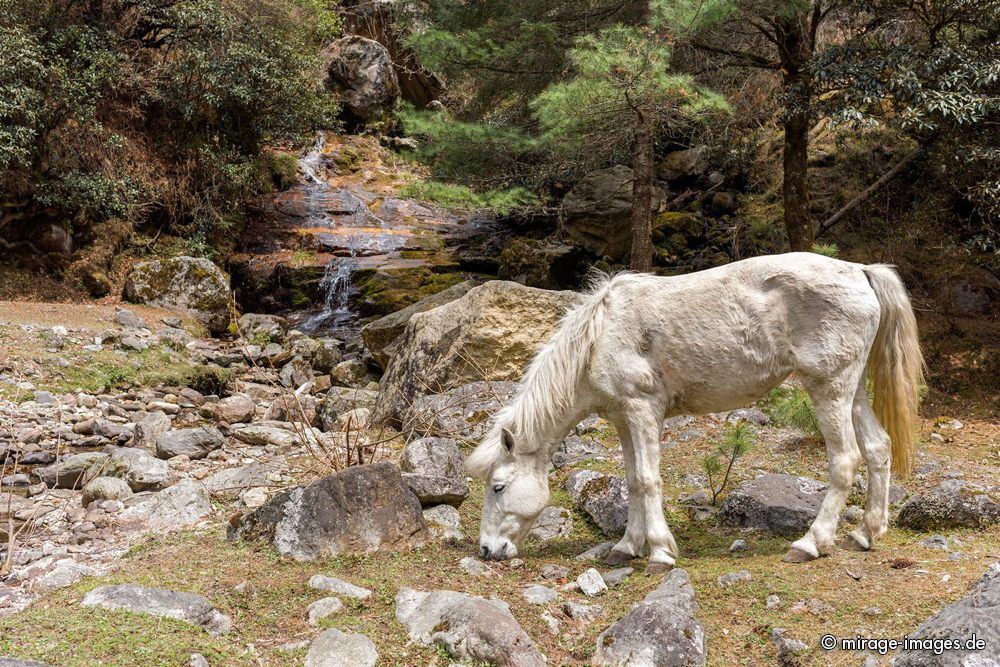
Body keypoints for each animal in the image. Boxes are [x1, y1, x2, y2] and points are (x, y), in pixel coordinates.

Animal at [466, 252, 923, 573]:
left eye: (498, 487)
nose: (487, 549)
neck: (598, 337)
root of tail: (860, 270)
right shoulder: (623, 419)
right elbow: (632, 481)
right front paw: (626, 547)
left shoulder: (642, 411)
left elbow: (648, 480)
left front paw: (659, 553)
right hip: (851, 390)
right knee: (878, 449)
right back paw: (865, 534)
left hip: (828, 390)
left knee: (845, 460)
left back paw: (810, 544)